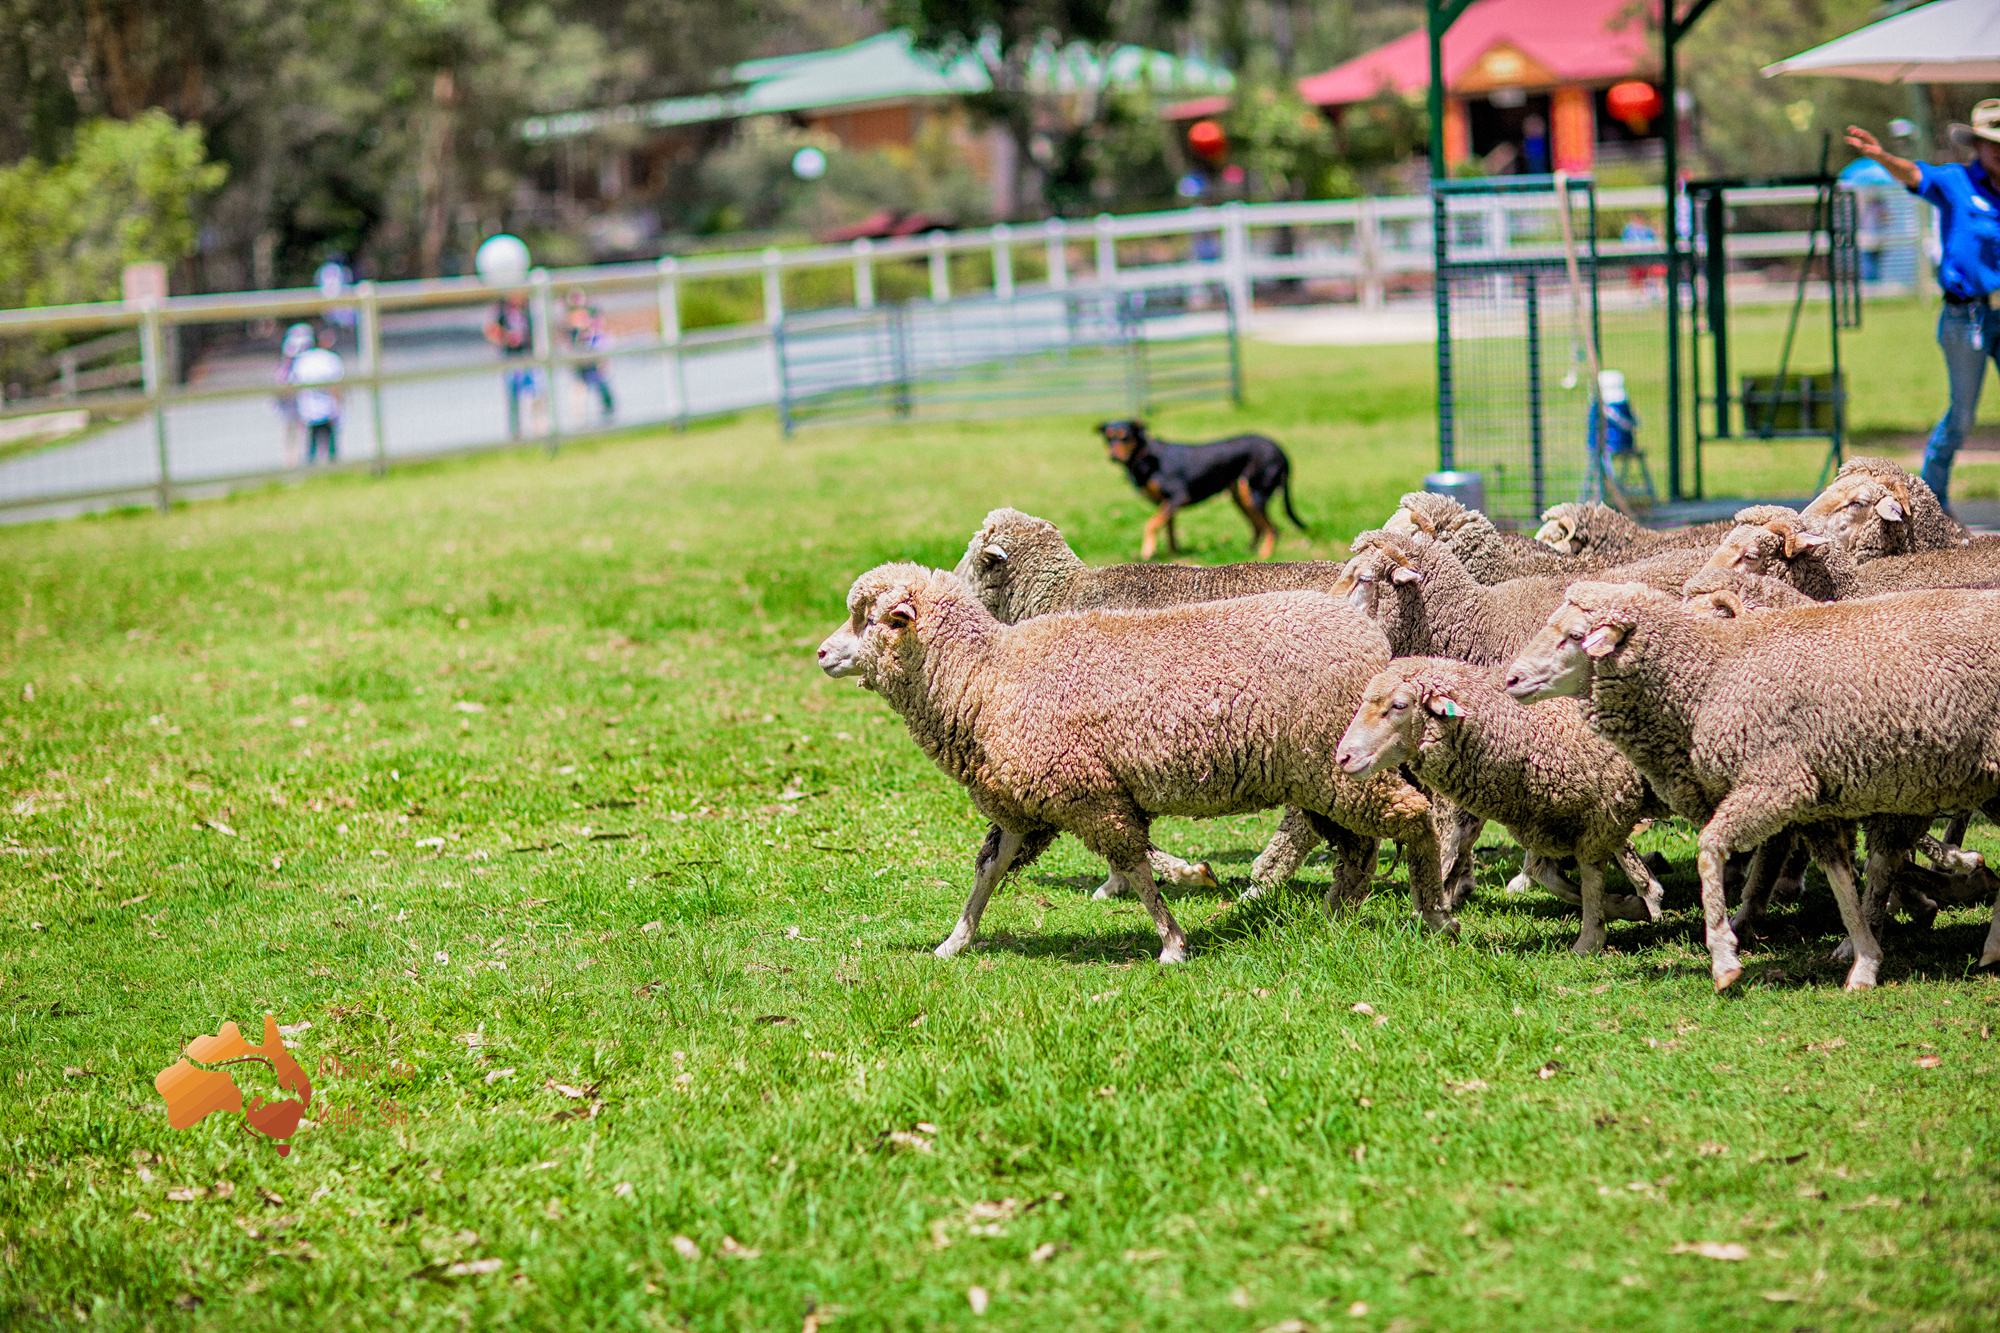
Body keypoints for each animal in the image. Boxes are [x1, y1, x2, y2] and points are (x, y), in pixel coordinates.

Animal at [812, 564, 1456, 960]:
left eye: (871, 619)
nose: (820, 653)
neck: (986, 677)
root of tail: (1365, 631)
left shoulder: (1090, 795)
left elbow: (1137, 863)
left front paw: (1173, 938)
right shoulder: (1026, 805)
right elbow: (989, 871)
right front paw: (956, 939)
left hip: (1338, 764)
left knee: (1414, 817)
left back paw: (1436, 914)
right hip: (1319, 779)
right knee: (1360, 847)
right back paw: (1338, 914)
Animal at [1104, 418, 1304, 556]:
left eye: (1124, 436)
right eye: (1108, 438)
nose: (1112, 455)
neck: (1144, 456)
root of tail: (1281, 451)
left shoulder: (1178, 496)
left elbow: (1151, 523)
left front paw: (1147, 551)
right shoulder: (1167, 504)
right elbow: (1169, 530)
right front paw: (1173, 554)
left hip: (1254, 494)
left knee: (1273, 530)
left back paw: (1263, 556)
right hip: (1241, 497)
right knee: (1259, 527)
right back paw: (1246, 553)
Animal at [1328, 652, 1672, 944]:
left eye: (1399, 705)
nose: (1343, 757)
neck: (1531, 736)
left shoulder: (1603, 811)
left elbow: (1591, 877)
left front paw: (1593, 937)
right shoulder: (1544, 821)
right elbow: (1550, 878)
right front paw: (1627, 906)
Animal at [1504, 580, 2000, 984]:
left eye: (1574, 636)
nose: (1510, 679)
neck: (1711, 673)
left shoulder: (1776, 781)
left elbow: (1709, 850)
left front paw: (1724, 957)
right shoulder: (1813, 797)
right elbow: (1841, 879)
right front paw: (1865, 960)